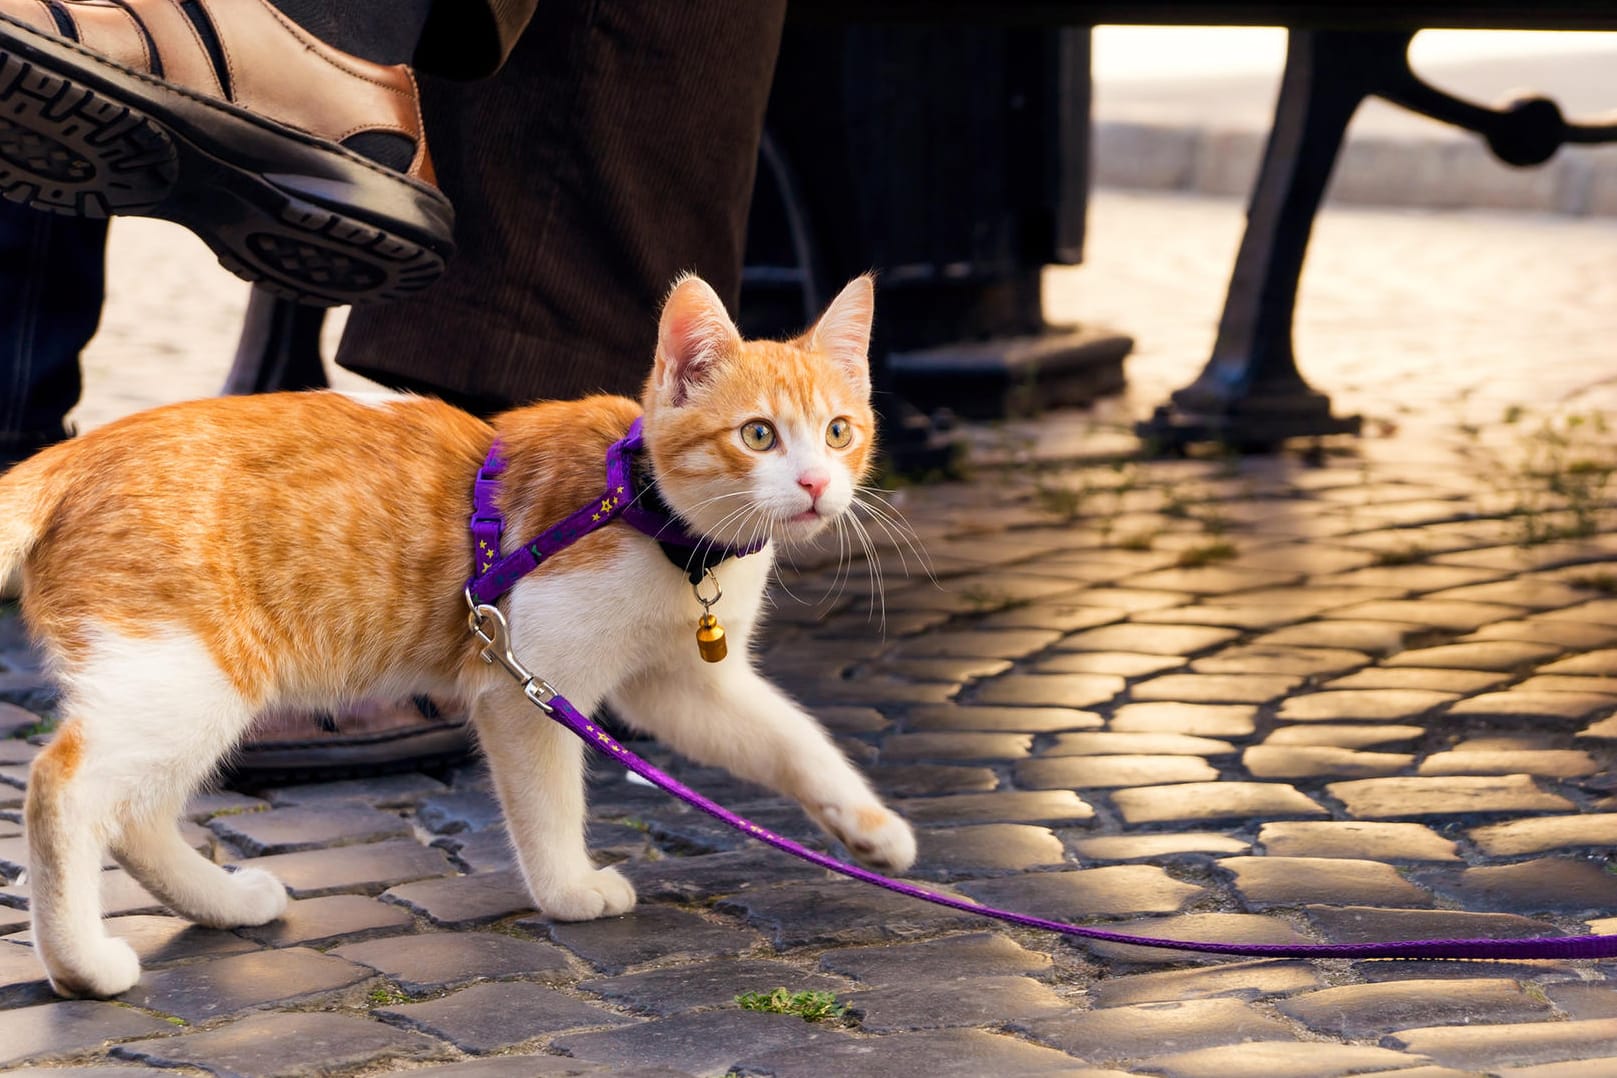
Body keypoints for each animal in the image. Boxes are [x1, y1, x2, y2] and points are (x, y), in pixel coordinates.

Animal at [0, 274, 911, 1002]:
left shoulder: (681, 685)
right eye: (758, 435)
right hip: (188, 673)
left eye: (838, 431)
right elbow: (548, 801)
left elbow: (791, 739)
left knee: (138, 815)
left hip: (191, 684)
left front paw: (868, 827)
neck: (655, 518)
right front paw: (568, 890)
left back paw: (223, 905)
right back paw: (83, 964)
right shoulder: (526, 680)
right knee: (62, 788)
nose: (815, 485)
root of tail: (77, 453)